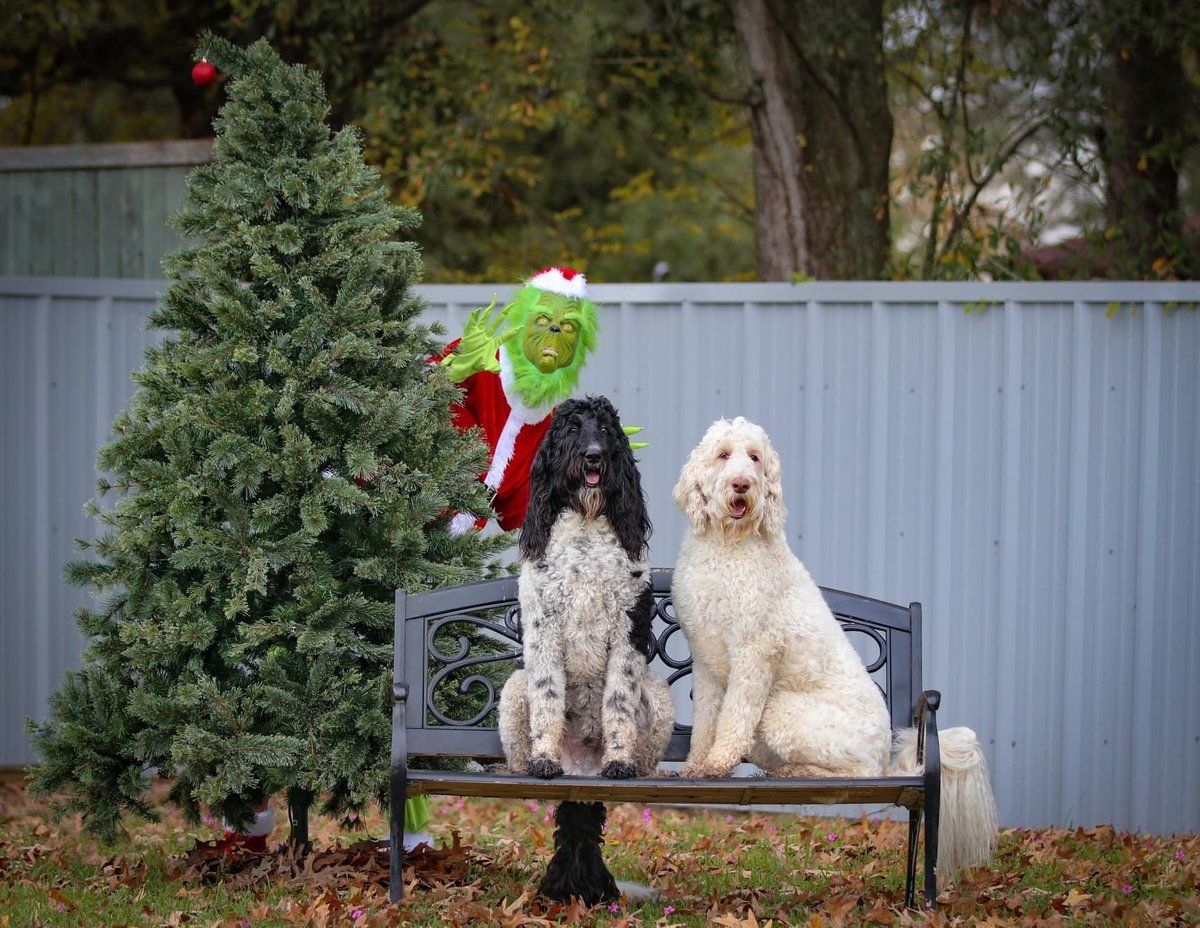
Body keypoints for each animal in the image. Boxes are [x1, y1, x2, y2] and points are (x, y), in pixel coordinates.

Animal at [672, 415, 998, 873]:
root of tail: (889, 755)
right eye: (723, 455)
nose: (742, 485)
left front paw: (719, 762)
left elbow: (734, 717)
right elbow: (705, 722)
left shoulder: (755, 652)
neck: (726, 544)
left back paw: (796, 774)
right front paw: (697, 764)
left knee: (855, 770)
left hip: (782, 714)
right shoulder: (706, 658)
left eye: (754, 458)